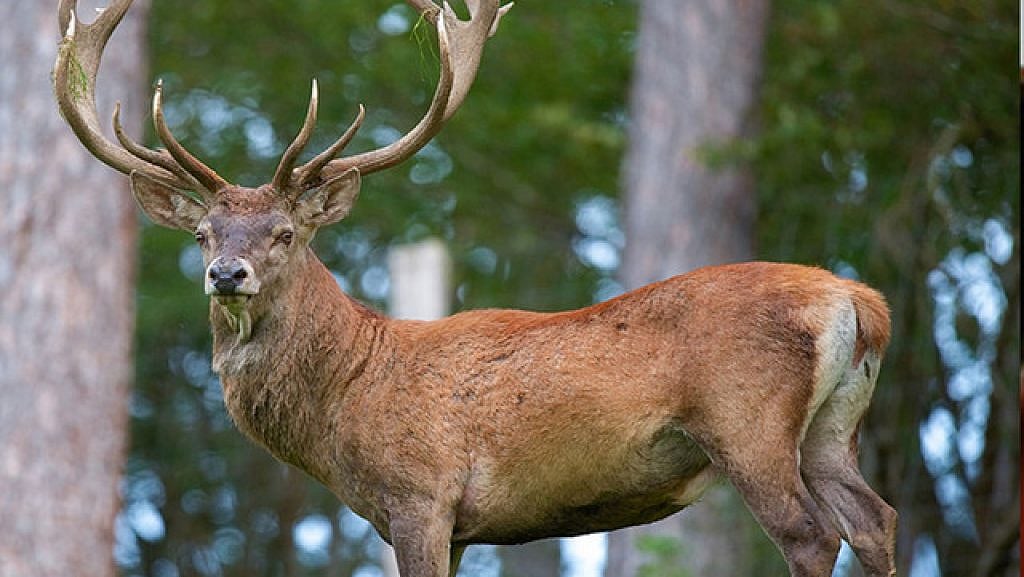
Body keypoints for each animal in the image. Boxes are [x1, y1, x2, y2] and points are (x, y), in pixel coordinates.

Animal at [53, 1, 898, 576]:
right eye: (203, 233)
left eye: (286, 232)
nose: (227, 273)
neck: (347, 394)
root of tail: (860, 303)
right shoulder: (457, 525)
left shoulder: (420, 496)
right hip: (831, 428)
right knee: (875, 518)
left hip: (747, 419)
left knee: (811, 534)